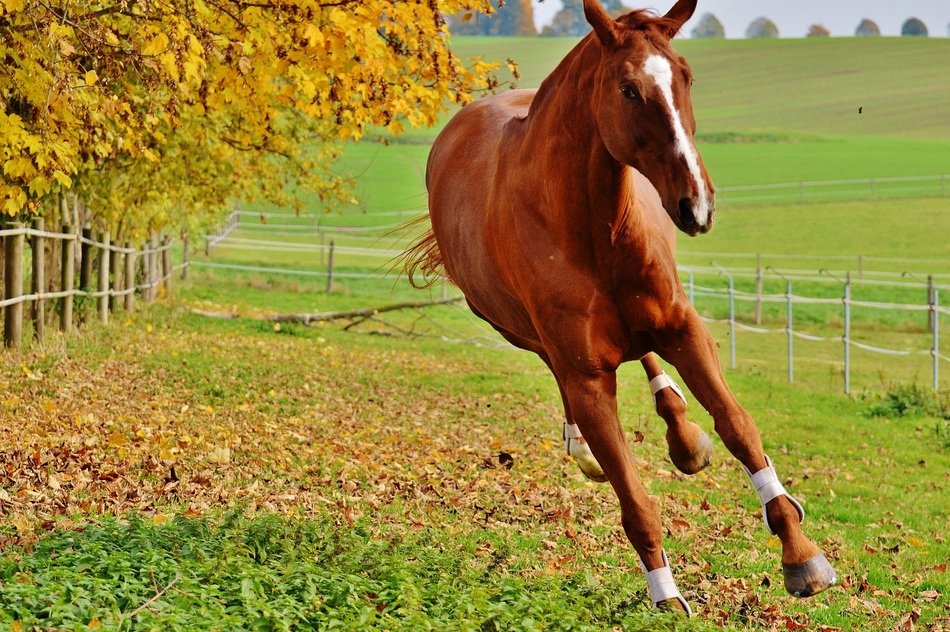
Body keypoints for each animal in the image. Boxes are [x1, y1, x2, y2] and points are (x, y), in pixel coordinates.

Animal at [405, 0, 836, 615]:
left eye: (686, 77)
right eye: (628, 90)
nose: (697, 205)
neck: (588, 227)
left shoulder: (685, 330)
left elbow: (738, 428)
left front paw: (802, 556)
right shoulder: (585, 373)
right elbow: (632, 496)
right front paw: (666, 596)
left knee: (651, 363)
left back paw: (685, 439)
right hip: (518, 330)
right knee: (558, 369)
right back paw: (588, 447)